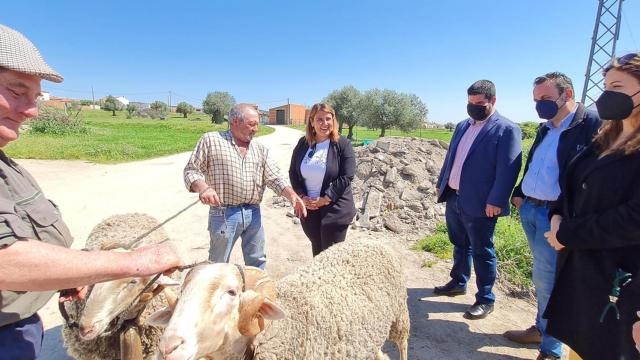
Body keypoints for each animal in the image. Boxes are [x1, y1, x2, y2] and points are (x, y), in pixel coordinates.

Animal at [147, 239, 408, 360]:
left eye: (231, 293)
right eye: (181, 292)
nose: (167, 348)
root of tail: (367, 240)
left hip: (400, 318)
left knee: (402, 345)